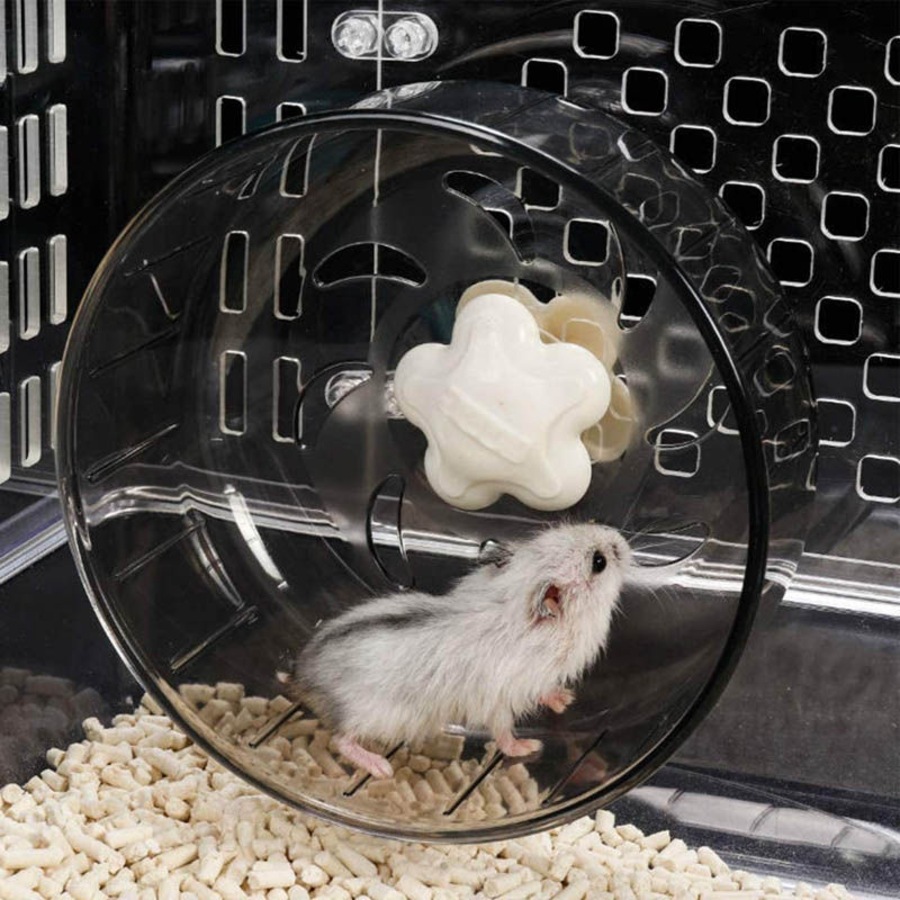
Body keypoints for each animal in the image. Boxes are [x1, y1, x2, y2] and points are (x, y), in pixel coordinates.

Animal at [286, 522, 631, 779]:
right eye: (599, 562)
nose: (622, 539)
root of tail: (303, 678)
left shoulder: (537, 679)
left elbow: (547, 691)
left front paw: (565, 699)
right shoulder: (501, 698)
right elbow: (504, 731)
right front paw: (529, 747)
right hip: (373, 715)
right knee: (341, 739)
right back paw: (381, 767)